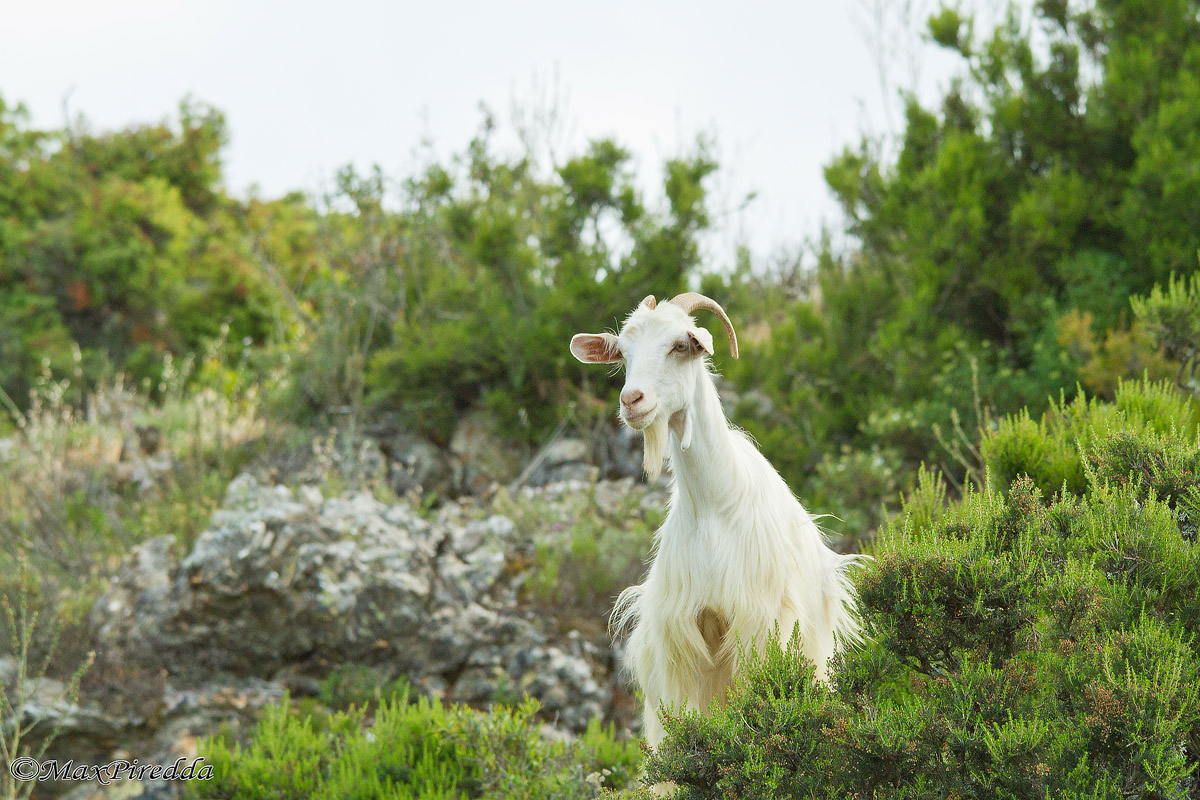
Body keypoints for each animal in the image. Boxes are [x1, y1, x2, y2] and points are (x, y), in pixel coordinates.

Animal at [570, 293, 866, 748]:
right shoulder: (680, 634)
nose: (632, 401)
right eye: (623, 353)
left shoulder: (759, 624)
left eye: (680, 345)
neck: (715, 505)